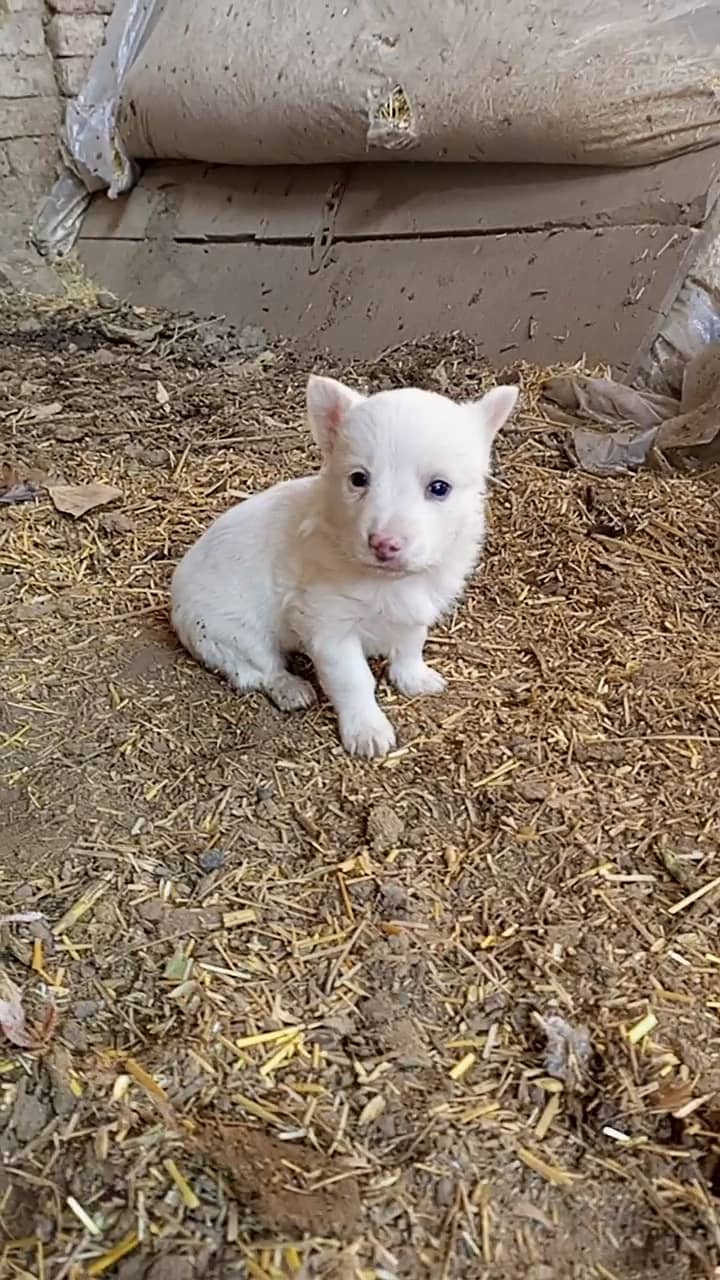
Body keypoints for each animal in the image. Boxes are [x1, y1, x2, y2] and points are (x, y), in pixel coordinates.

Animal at [169, 378, 515, 757]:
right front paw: (367, 731)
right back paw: (291, 688)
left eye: (440, 487)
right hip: (231, 635)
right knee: (256, 671)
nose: (384, 543)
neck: (388, 581)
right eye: (358, 479)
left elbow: (411, 644)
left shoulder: (416, 610)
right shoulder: (329, 625)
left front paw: (414, 678)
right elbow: (354, 680)